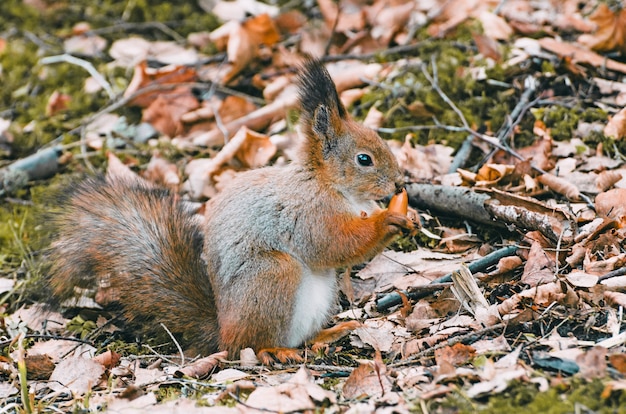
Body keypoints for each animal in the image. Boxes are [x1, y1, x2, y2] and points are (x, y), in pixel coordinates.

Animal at [46, 58, 412, 362]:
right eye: (364, 159)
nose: (399, 182)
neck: (333, 186)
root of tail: (222, 328)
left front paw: (409, 216)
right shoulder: (307, 212)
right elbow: (334, 243)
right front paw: (387, 221)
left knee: (300, 338)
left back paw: (329, 333)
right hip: (272, 276)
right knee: (250, 345)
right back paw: (274, 350)